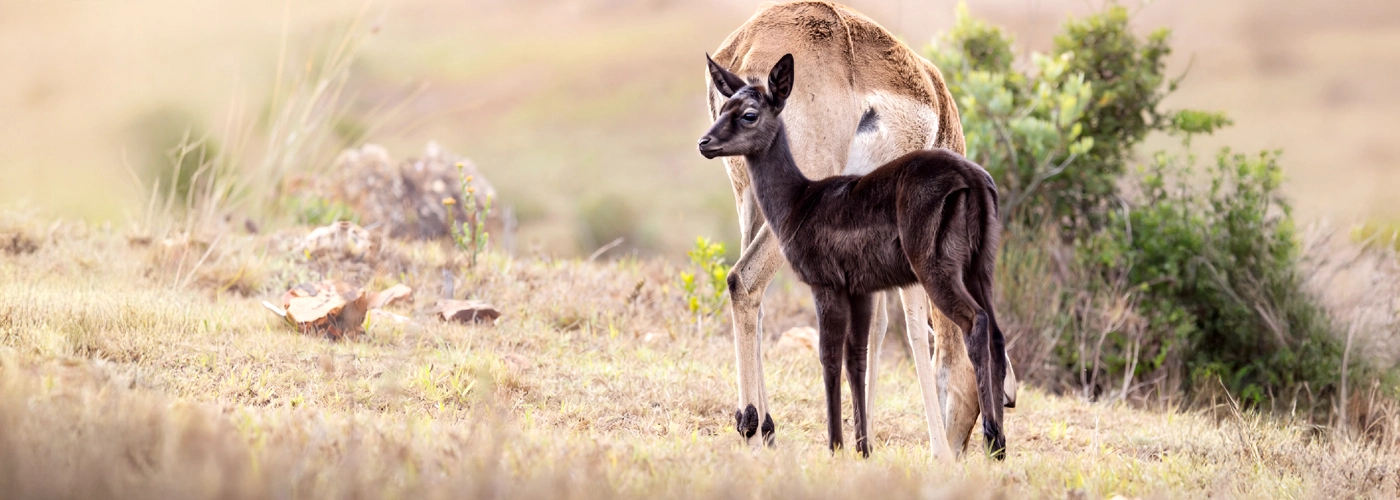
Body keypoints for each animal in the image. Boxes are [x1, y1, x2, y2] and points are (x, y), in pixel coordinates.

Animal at [705, 1, 1016, 460]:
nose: (964, 450)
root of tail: (747, 43)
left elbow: (877, 326)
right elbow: (913, 327)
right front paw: (936, 450)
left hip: (750, 205)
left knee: (753, 298)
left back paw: (766, 426)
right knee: (743, 281)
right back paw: (749, 427)